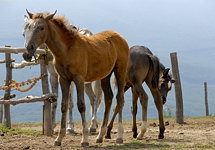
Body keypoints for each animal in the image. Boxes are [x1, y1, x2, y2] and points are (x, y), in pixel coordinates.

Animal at [22, 10, 128, 146]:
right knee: (108, 98)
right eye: (28, 28)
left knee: (119, 99)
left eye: (41, 27)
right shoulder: (63, 79)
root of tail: (120, 36)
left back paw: (119, 136)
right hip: (105, 75)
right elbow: (63, 105)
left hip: (120, 72)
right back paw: (100, 136)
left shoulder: (78, 79)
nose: (27, 51)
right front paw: (59, 138)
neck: (67, 50)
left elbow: (81, 105)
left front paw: (84, 139)